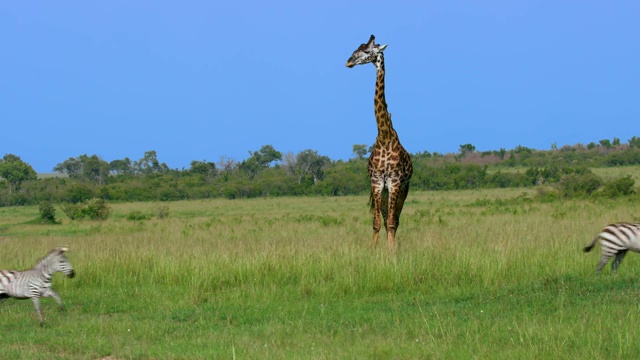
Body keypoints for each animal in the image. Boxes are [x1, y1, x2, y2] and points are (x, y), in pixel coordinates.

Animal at [348, 35, 412, 252]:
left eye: (368, 51)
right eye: (356, 49)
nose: (349, 61)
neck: (384, 136)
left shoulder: (394, 182)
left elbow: (392, 222)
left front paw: (392, 254)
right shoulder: (376, 182)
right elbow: (376, 222)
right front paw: (374, 252)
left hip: (402, 189)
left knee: (395, 220)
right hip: (384, 190)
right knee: (385, 219)